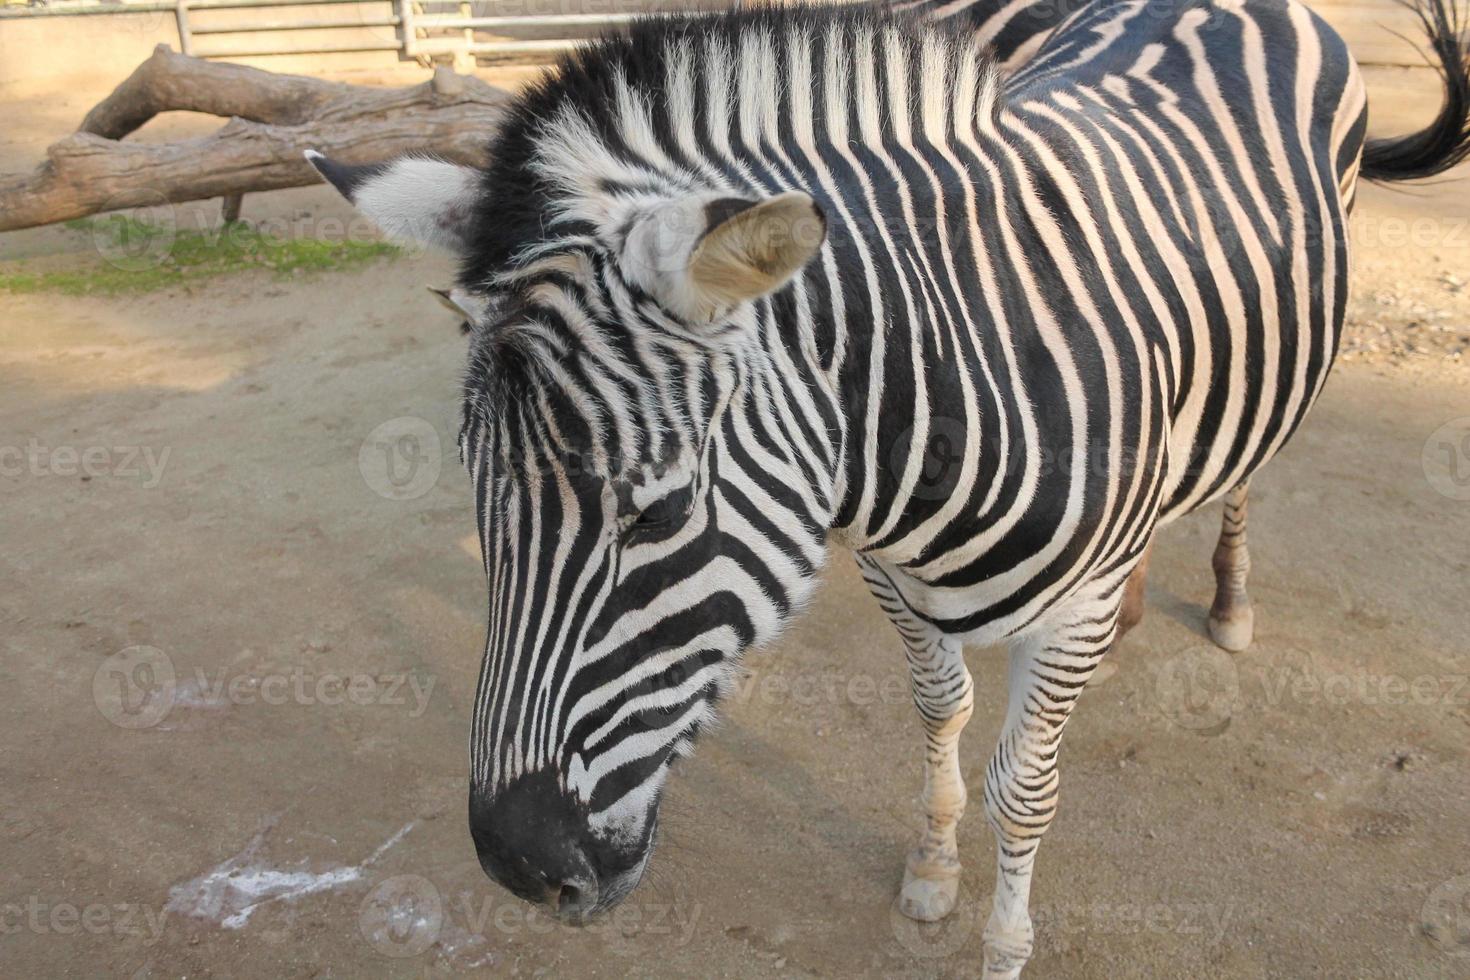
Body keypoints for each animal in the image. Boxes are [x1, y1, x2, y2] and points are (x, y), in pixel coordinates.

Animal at [304, 0, 1464, 975]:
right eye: (479, 495)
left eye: (663, 510)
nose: (517, 865)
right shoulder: (890, 575)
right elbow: (940, 707)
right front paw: (933, 871)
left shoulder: (1068, 610)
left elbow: (1024, 789)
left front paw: (1004, 943)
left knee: (1241, 480)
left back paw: (1228, 599)